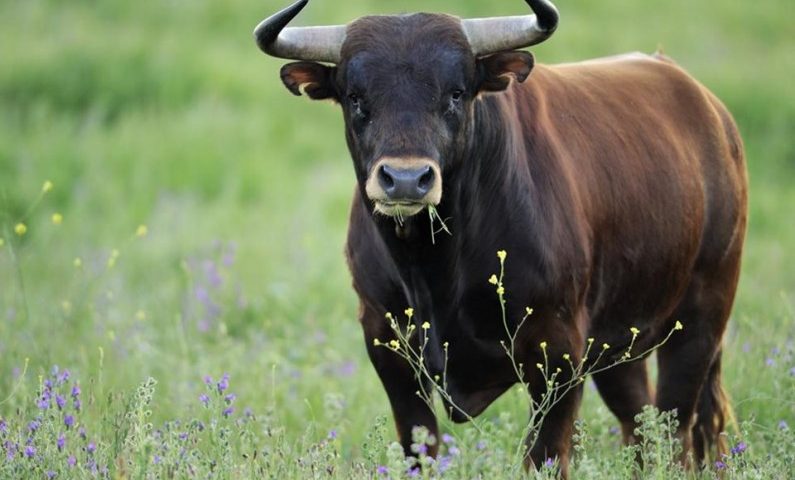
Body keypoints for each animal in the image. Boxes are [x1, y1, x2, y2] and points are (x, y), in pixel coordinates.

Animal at [253, 0, 748, 474]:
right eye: (356, 97)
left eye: (455, 93)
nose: (407, 179)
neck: (434, 268)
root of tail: (710, 110)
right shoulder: (386, 345)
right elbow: (419, 448)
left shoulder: (558, 353)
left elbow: (545, 455)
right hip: (620, 347)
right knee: (641, 425)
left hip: (700, 320)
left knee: (677, 431)